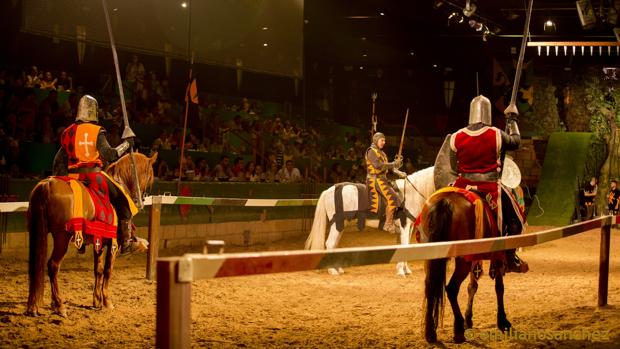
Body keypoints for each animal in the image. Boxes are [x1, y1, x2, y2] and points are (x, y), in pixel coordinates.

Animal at [27, 152, 157, 316]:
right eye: (150, 176)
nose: (142, 198)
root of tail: (47, 184)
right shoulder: (113, 244)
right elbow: (108, 270)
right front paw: (107, 302)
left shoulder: (99, 242)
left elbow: (98, 270)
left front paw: (97, 301)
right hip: (62, 238)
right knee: (53, 266)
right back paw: (59, 305)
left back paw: (37, 306)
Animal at [306, 164, 436, 276]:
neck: (409, 194)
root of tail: (331, 190)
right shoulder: (404, 225)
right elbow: (405, 246)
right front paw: (401, 271)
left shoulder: (409, 227)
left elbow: (407, 245)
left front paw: (406, 270)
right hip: (338, 224)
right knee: (330, 243)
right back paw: (332, 270)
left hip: (341, 224)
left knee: (334, 244)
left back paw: (338, 268)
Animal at [418, 189, 512, 342]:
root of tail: (445, 201)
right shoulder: (497, 256)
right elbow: (499, 287)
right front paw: (502, 321)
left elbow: (472, 286)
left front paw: (469, 319)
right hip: (463, 260)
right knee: (451, 288)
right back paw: (458, 329)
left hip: (433, 256)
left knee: (430, 286)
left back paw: (430, 331)